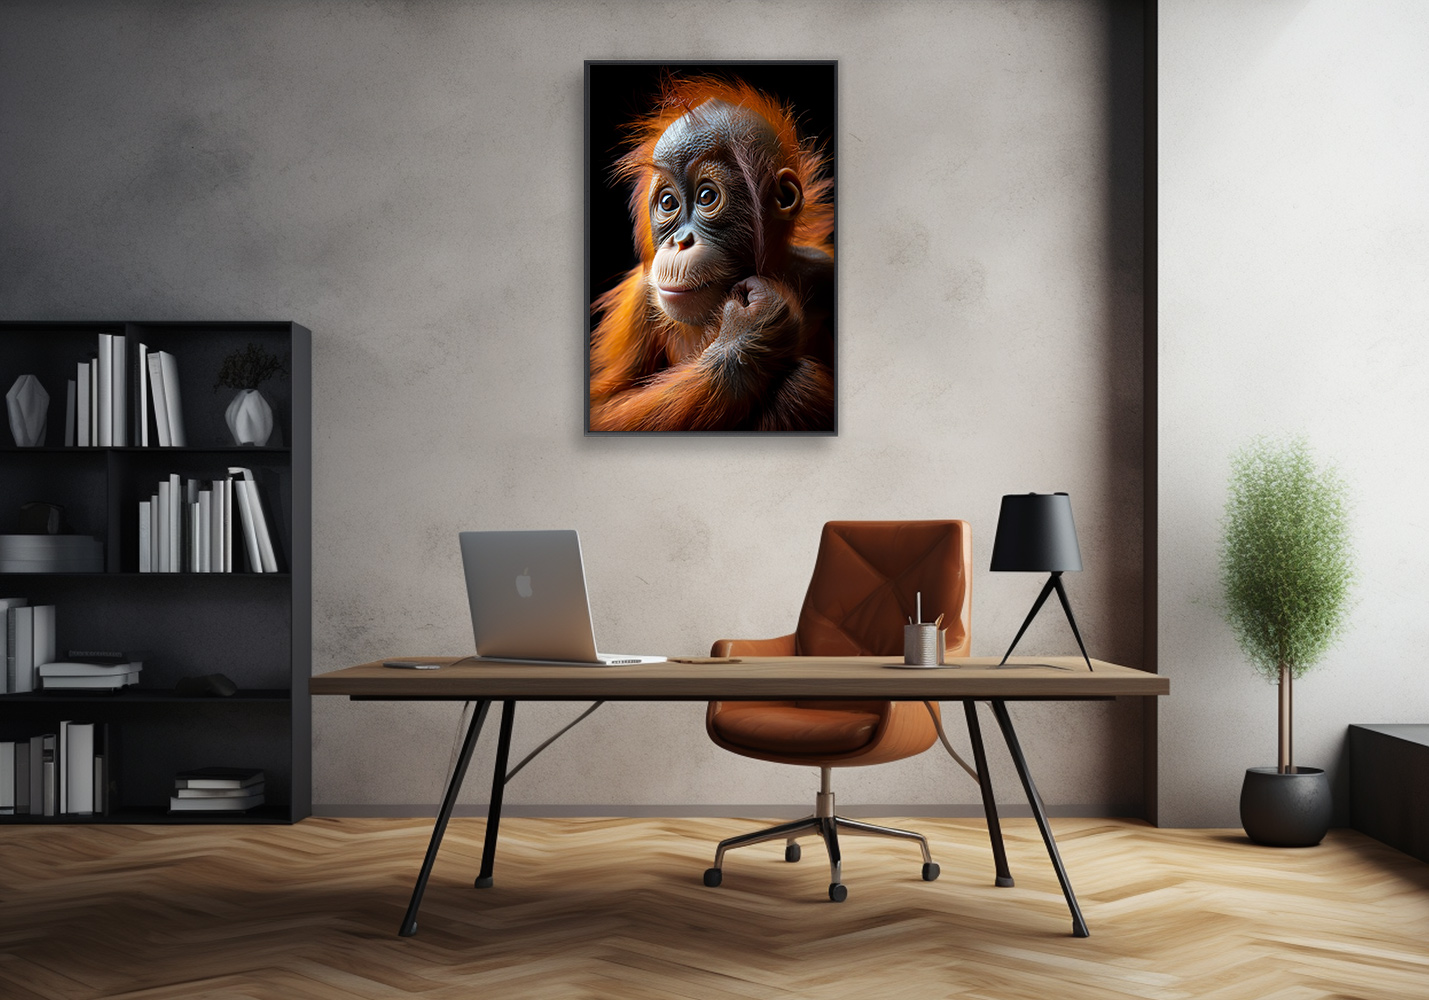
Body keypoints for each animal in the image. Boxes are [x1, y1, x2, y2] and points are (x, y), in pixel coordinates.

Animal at [588, 76, 835, 432]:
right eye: (668, 202)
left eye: (707, 196)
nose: (680, 242)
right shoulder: (640, 296)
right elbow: (601, 405)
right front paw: (748, 336)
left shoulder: (823, 270)